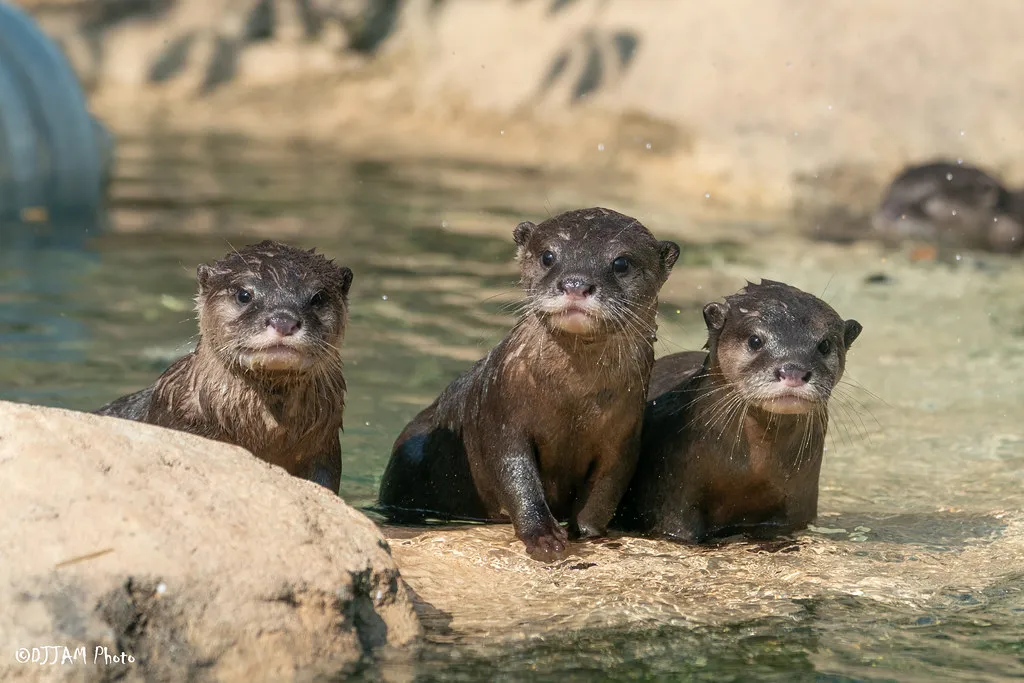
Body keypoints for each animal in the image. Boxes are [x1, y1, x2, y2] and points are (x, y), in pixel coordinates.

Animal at [376, 208, 680, 560]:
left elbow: (604, 491)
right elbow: (516, 476)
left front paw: (590, 534)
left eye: (621, 263)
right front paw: (543, 537)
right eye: (548, 256)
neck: (572, 401)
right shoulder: (502, 417)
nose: (575, 283)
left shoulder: (623, 439)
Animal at [615, 280, 862, 543]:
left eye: (824, 345)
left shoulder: (797, 504)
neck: (748, 472)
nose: (793, 371)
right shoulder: (672, 492)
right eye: (755, 340)